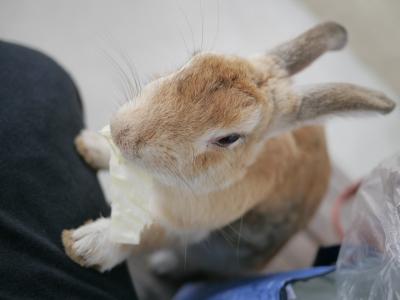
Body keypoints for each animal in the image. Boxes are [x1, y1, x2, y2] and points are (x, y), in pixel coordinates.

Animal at [61, 21, 396, 298]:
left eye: (229, 138)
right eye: (190, 60)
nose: (122, 132)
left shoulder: (187, 222)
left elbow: (147, 233)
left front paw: (84, 245)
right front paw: (89, 144)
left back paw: (163, 265)